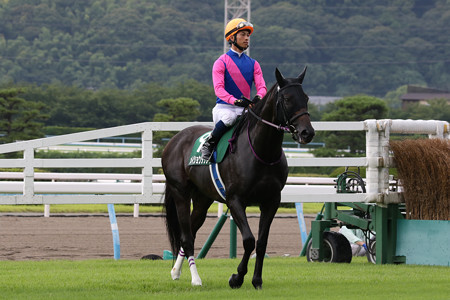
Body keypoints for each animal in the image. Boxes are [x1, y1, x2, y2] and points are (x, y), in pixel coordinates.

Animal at [163, 67, 314, 288]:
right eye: (286, 99)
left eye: (306, 97)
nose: (307, 132)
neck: (262, 152)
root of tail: (175, 140)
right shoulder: (235, 200)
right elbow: (249, 240)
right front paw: (237, 277)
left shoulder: (271, 201)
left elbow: (261, 242)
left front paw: (257, 280)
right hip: (180, 193)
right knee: (186, 237)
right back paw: (196, 279)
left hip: (202, 198)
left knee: (191, 228)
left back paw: (175, 271)